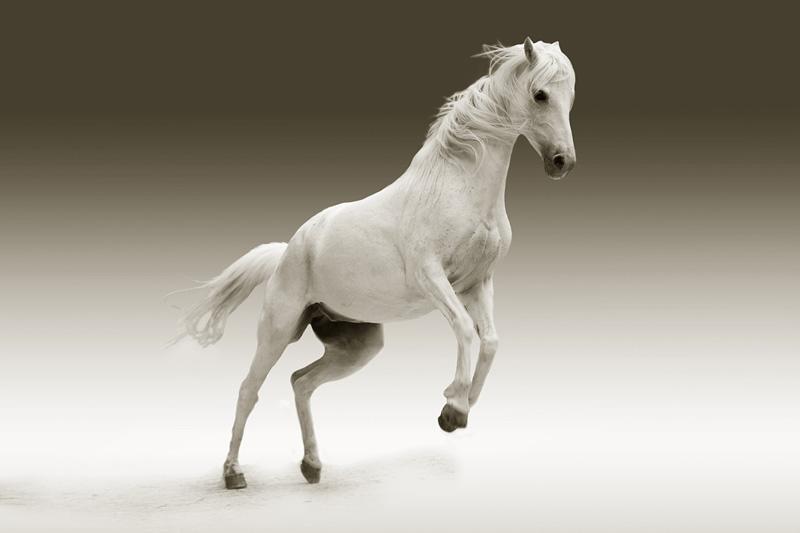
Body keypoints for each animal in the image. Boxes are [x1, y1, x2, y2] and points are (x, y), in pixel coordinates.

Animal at [174, 37, 576, 489]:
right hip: (278, 329)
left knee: (301, 383)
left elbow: (490, 341)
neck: (457, 188)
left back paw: (312, 466)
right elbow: (464, 331)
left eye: (570, 96)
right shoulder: (432, 277)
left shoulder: (478, 283)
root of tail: (288, 250)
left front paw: (457, 407)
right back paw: (233, 473)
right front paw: (453, 407)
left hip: (358, 345)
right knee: (249, 389)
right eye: (540, 94)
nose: (562, 162)